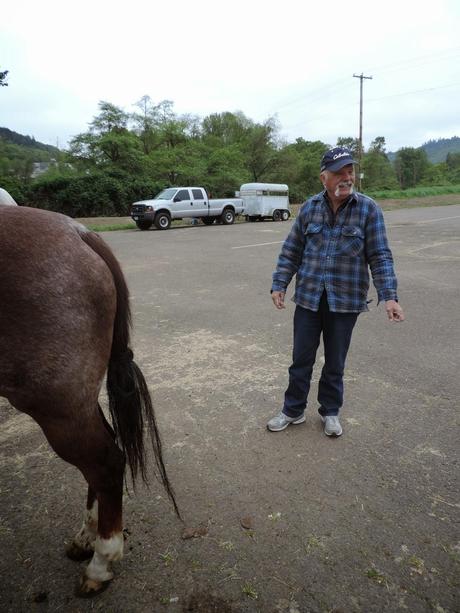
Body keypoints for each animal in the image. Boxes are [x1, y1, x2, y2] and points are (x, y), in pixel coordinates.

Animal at [0, 204, 180, 592]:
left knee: (106, 463)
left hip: (59, 407)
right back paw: (87, 537)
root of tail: (79, 233)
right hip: (76, 400)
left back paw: (101, 561)